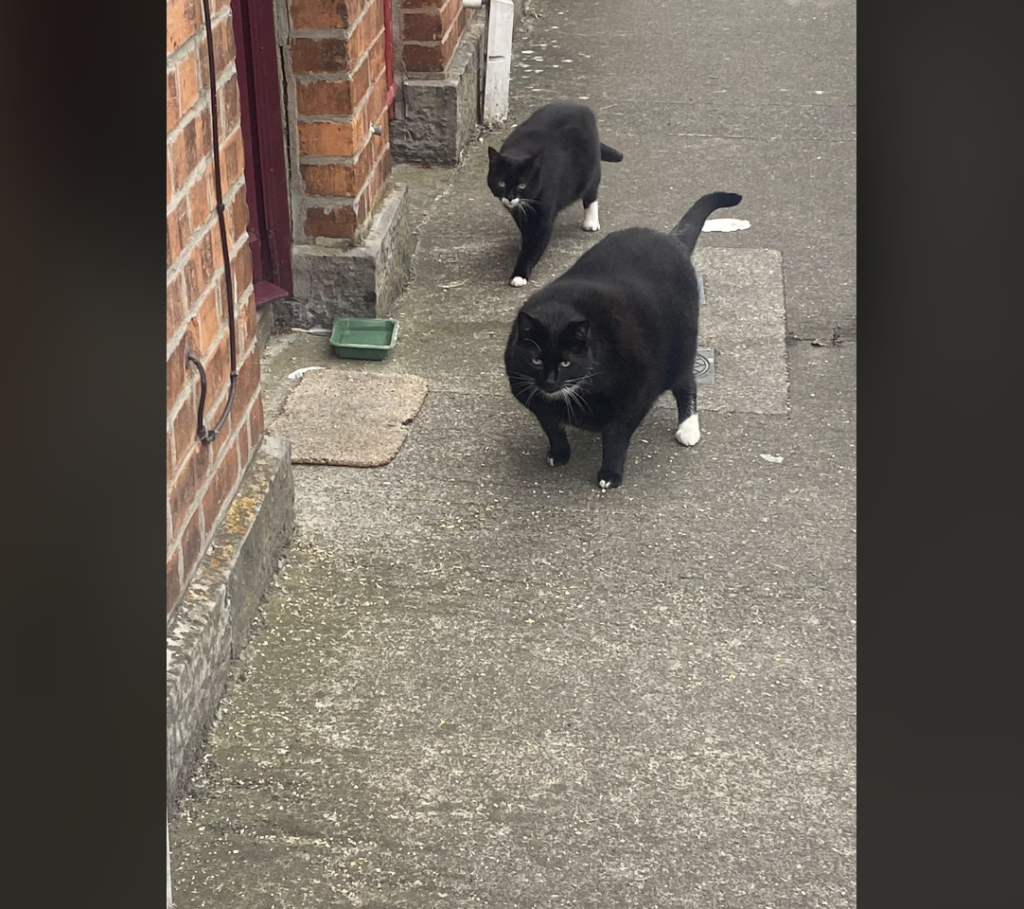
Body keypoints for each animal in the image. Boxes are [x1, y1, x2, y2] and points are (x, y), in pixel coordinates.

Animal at [487, 98, 622, 286]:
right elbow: (524, 228)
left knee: (591, 193)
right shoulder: (518, 210)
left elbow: (536, 240)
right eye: (501, 183)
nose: (510, 197)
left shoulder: (544, 212)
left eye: (522, 185)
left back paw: (590, 221)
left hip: (590, 169)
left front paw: (519, 274)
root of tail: (581, 107)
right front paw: (523, 240)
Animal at [499, 190, 741, 489]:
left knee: (686, 383)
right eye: (535, 360)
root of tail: (671, 239)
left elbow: (616, 437)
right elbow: (553, 429)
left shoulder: (632, 396)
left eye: (566, 363)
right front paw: (560, 453)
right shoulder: (536, 401)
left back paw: (688, 428)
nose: (549, 381)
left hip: (682, 345)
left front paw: (610, 474)